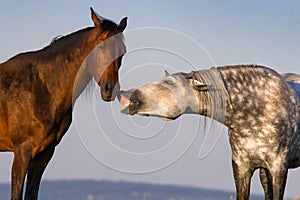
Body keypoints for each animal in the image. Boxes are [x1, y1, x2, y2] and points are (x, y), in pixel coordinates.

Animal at [0, 7, 127, 199]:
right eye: (101, 45)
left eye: (123, 51)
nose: (110, 88)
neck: (41, 86)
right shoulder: (22, 152)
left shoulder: (44, 154)